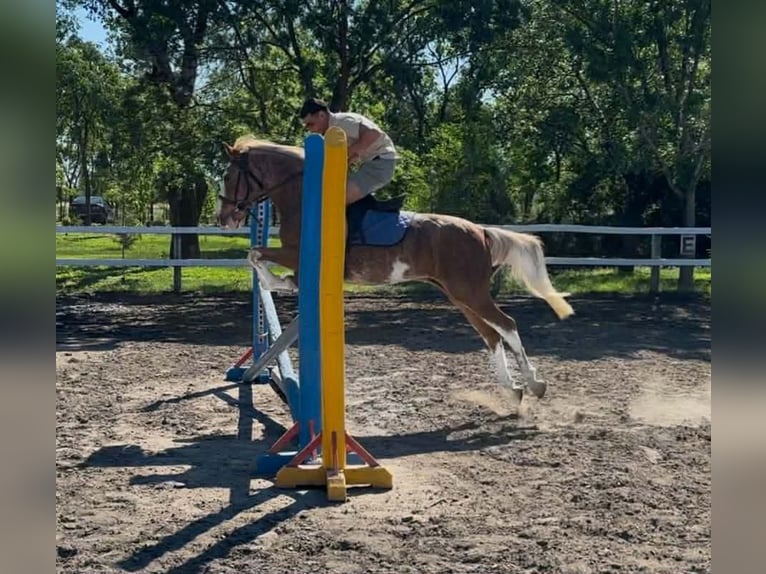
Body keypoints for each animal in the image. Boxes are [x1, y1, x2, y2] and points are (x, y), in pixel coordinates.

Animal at [217, 135, 574, 403]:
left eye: (227, 176)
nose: (223, 219)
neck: (302, 197)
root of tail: (482, 231)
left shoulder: (294, 253)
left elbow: (255, 254)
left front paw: (273, 281)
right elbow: (258, 257)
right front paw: (281, 283)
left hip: (470, 293)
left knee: (507, 326)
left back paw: (534, 384)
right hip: (460, 296)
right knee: (491, 334)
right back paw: (512, 390)